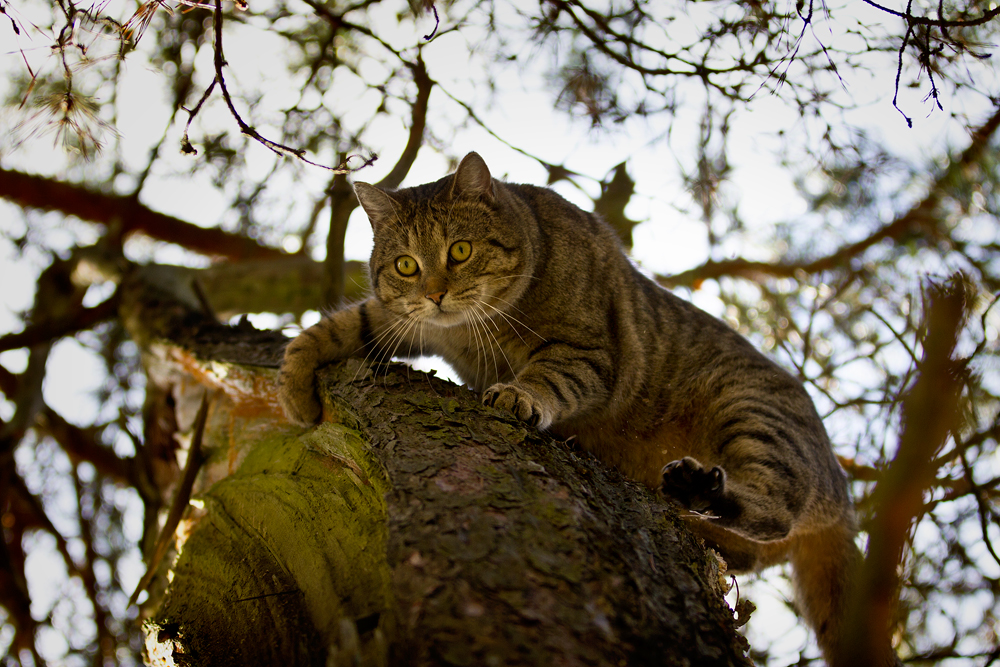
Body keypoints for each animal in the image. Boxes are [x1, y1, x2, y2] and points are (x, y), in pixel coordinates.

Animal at [280, 153, 900, 667]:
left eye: (460, 250)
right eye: (407, 265)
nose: (435, 293)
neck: (472, 334)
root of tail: (844, 498)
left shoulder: (587, 352)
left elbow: (549, 377)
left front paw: (520, 394)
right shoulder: (401, 320)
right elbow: (339, 324)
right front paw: (292, 382)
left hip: (752, 412)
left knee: (777, 509)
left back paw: (699, 490)